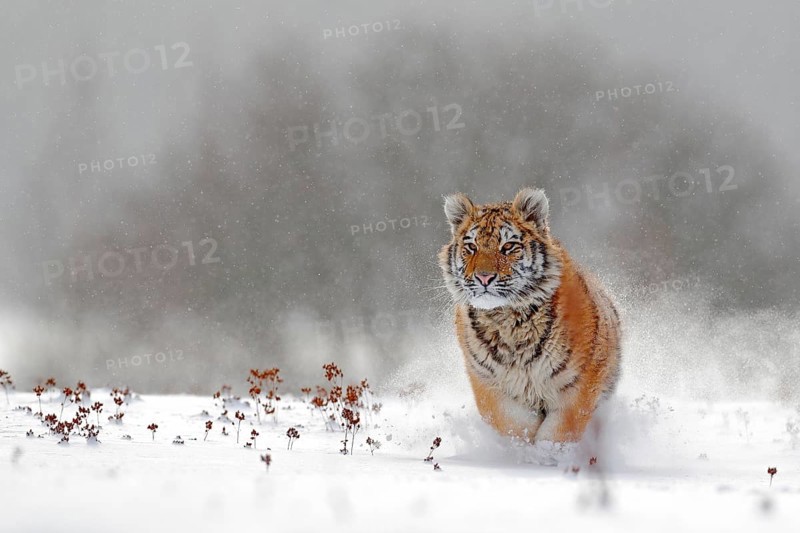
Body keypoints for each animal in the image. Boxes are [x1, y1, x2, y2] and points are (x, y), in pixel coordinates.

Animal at [438, 187, 621, 443]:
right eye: (472, 247)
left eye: (508, 246)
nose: (484, 277)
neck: (506, 320)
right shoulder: (487, 383)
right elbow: (513, 424)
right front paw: (522, 446)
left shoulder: (578, 387)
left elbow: (557, 434)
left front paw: (543, 452)